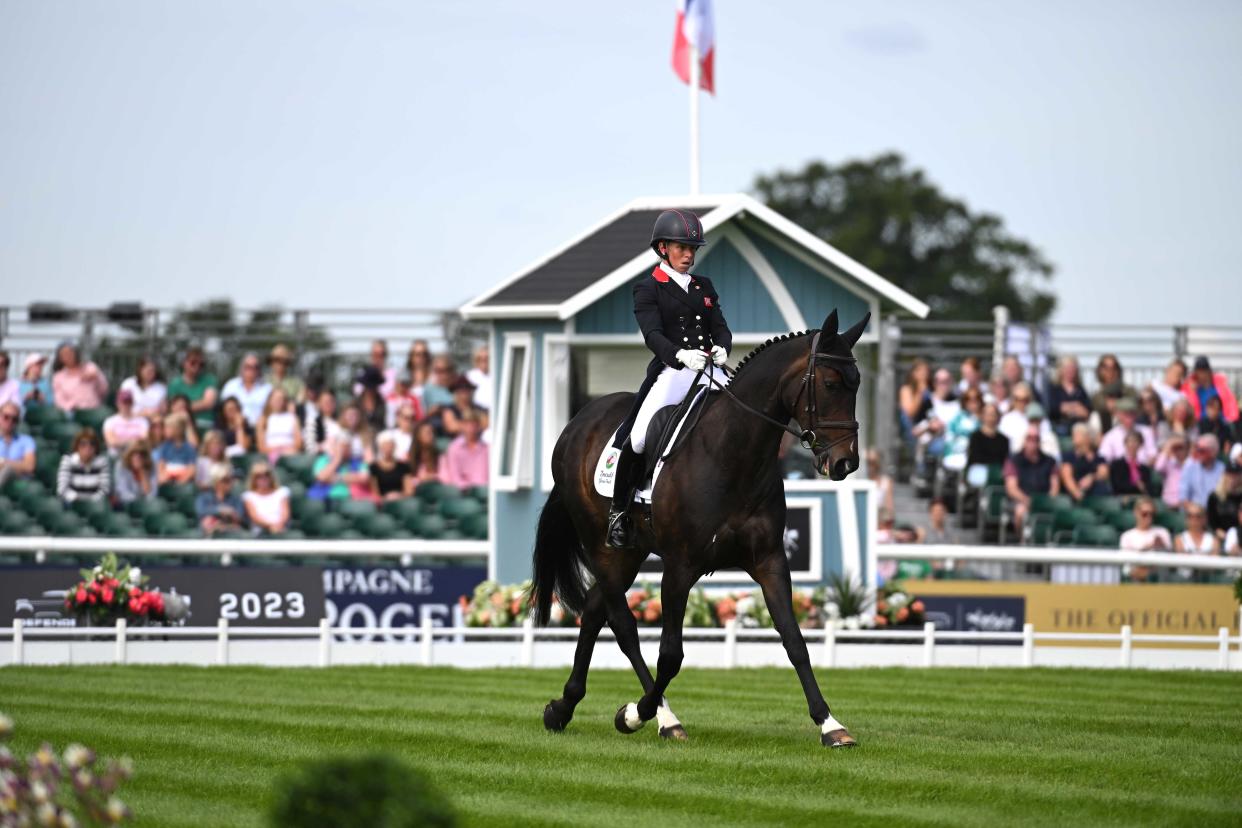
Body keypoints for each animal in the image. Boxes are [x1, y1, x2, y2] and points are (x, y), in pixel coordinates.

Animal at [529, 307, 869, 749]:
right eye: (829, 384)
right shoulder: (680, 567)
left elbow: (795, 641)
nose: (845, 463)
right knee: (623, 625)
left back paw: (563, 707)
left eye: (857, 384)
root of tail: (577, 424)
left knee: (594, 610)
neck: (733, 453)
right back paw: (659, 717)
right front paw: (635, 713)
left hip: (629, 552)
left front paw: (830, 725)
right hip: (602, 545)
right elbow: (670, 654)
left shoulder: (770, 561)